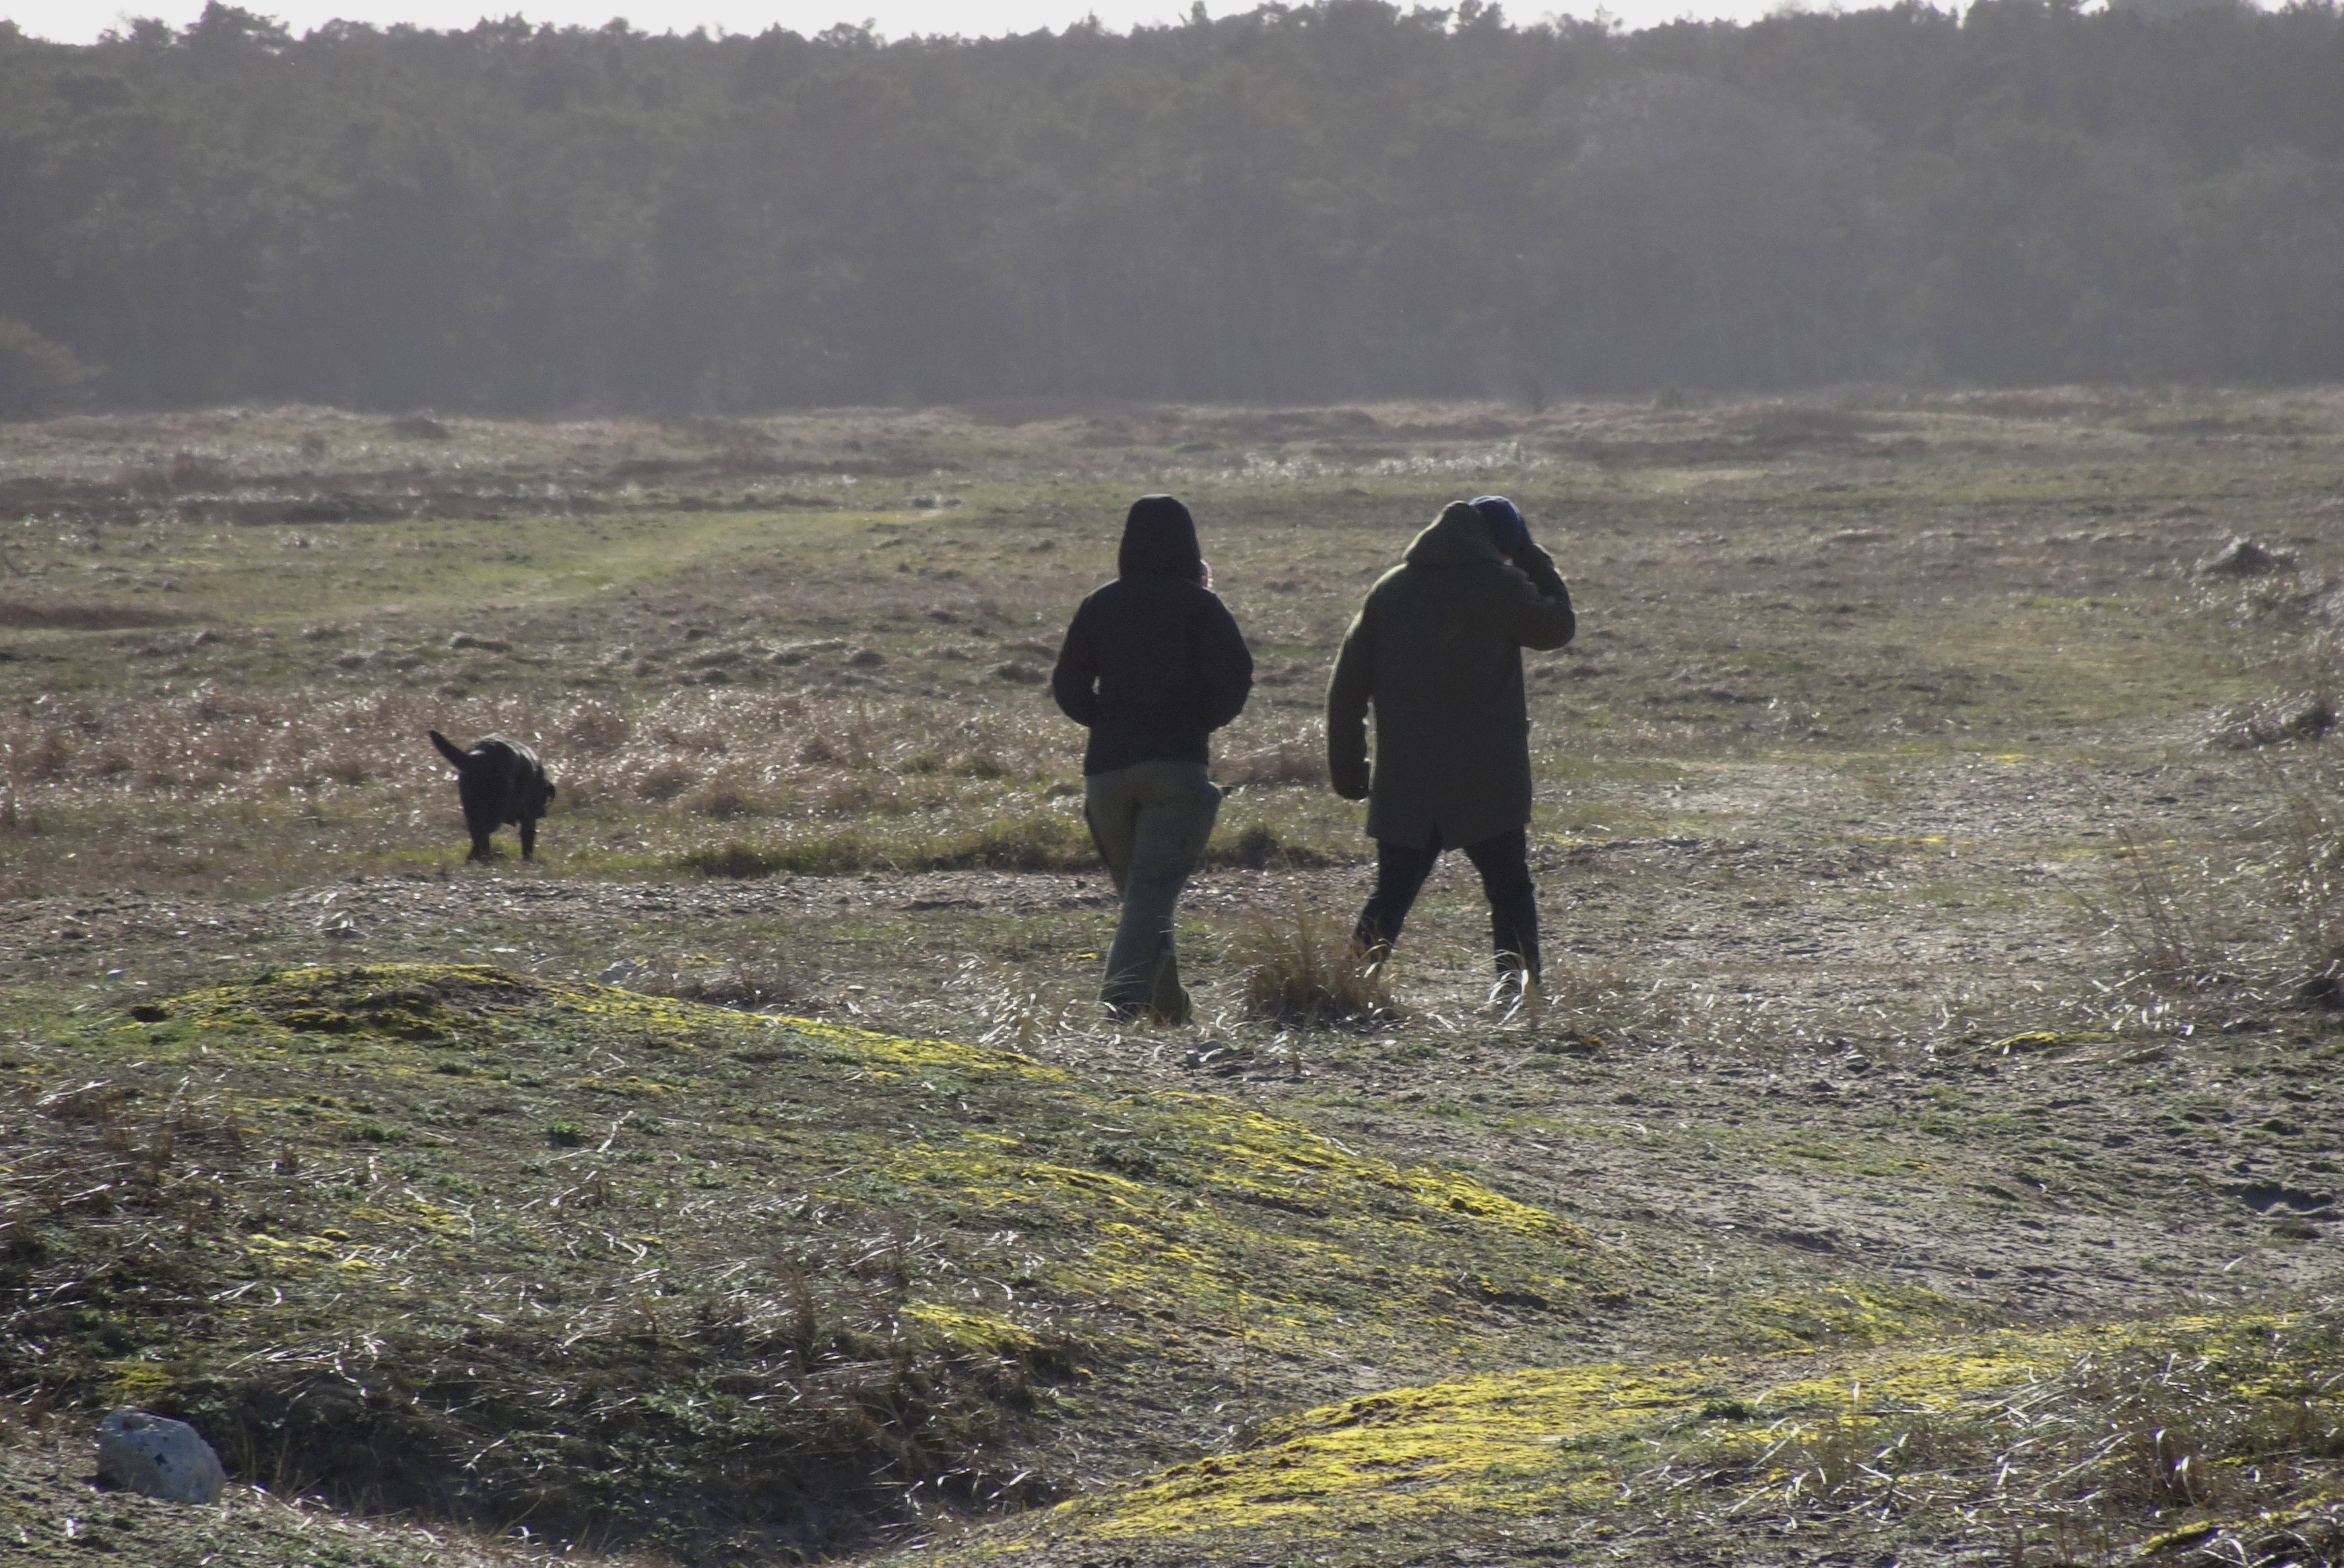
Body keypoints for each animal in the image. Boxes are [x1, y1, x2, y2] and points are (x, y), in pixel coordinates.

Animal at [431, 731, 558, 862]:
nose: (543, 813)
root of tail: (479, 757)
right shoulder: (529, 816)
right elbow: (528, 838)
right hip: (495, 812)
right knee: (482, 833)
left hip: (472, 809)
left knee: (477, 834)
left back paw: (476, 857)